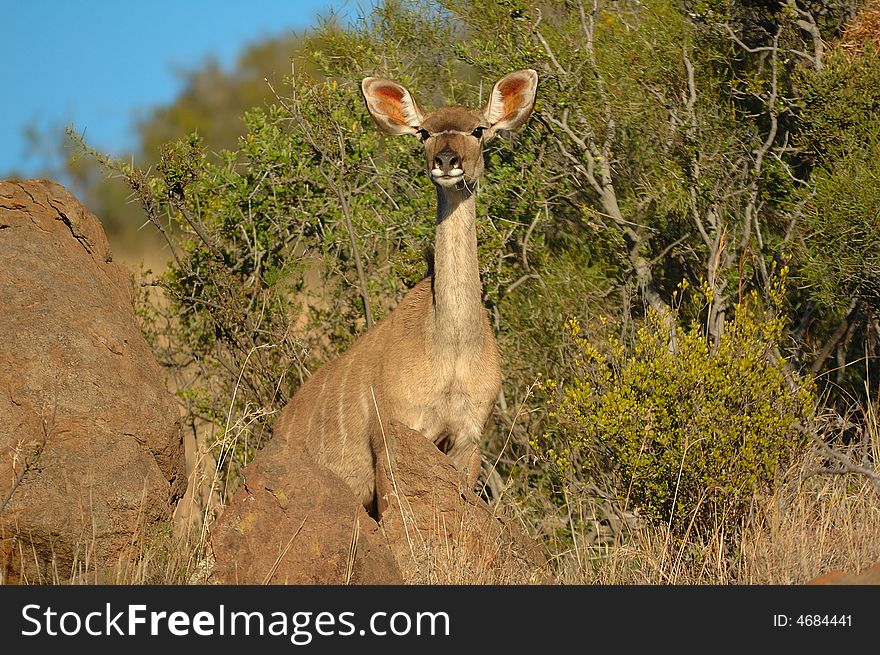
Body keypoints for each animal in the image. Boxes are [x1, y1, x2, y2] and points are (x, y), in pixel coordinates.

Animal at [272, 69, 540, 516]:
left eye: (478, 130)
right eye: (424, 132)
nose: (446, 161)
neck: (449, 346)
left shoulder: (468, 437)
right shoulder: (396, 434)